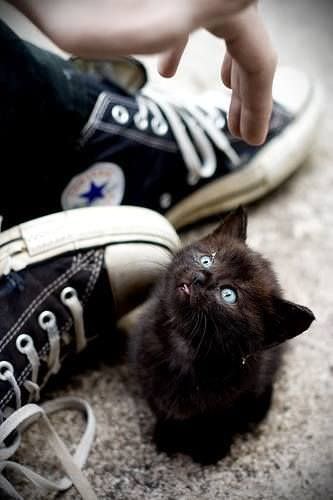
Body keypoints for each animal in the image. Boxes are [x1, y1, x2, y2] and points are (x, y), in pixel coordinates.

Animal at [130, 208, 314, 464]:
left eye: (228, 294)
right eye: (207, 259)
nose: (199, 276)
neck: (184, 348)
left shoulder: (241, 390)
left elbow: (222, 418)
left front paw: (212, 446)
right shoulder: (144, 366)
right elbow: (160, 405)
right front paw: (167, 432)